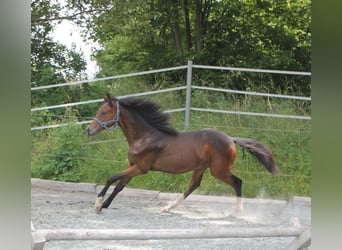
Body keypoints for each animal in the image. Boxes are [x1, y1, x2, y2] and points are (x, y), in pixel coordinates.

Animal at [86, 93, 280, 213]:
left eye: (103, 112)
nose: (88, 130)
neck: (144, 137)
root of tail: (231, 139)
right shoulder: (133, 166)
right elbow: (120, 185)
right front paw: (104, 206)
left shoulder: (141, 168)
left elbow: (112, 178)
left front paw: (98, 204)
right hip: (201, 167)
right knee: (193, 186)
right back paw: (167, 208)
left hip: (219, 170)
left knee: (237, 182)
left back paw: (236, 212)